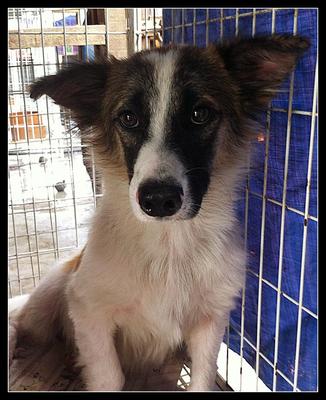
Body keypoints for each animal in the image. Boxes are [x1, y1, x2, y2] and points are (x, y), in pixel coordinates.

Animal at [10, 34, 310, 390]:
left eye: (199, 113)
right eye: (128, 118)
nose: (158, 200)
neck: (169, 244)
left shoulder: (211, 319)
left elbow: (202, 376)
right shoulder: (88, 311)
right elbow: (110, 374)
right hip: (51, 294)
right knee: (20, 321)